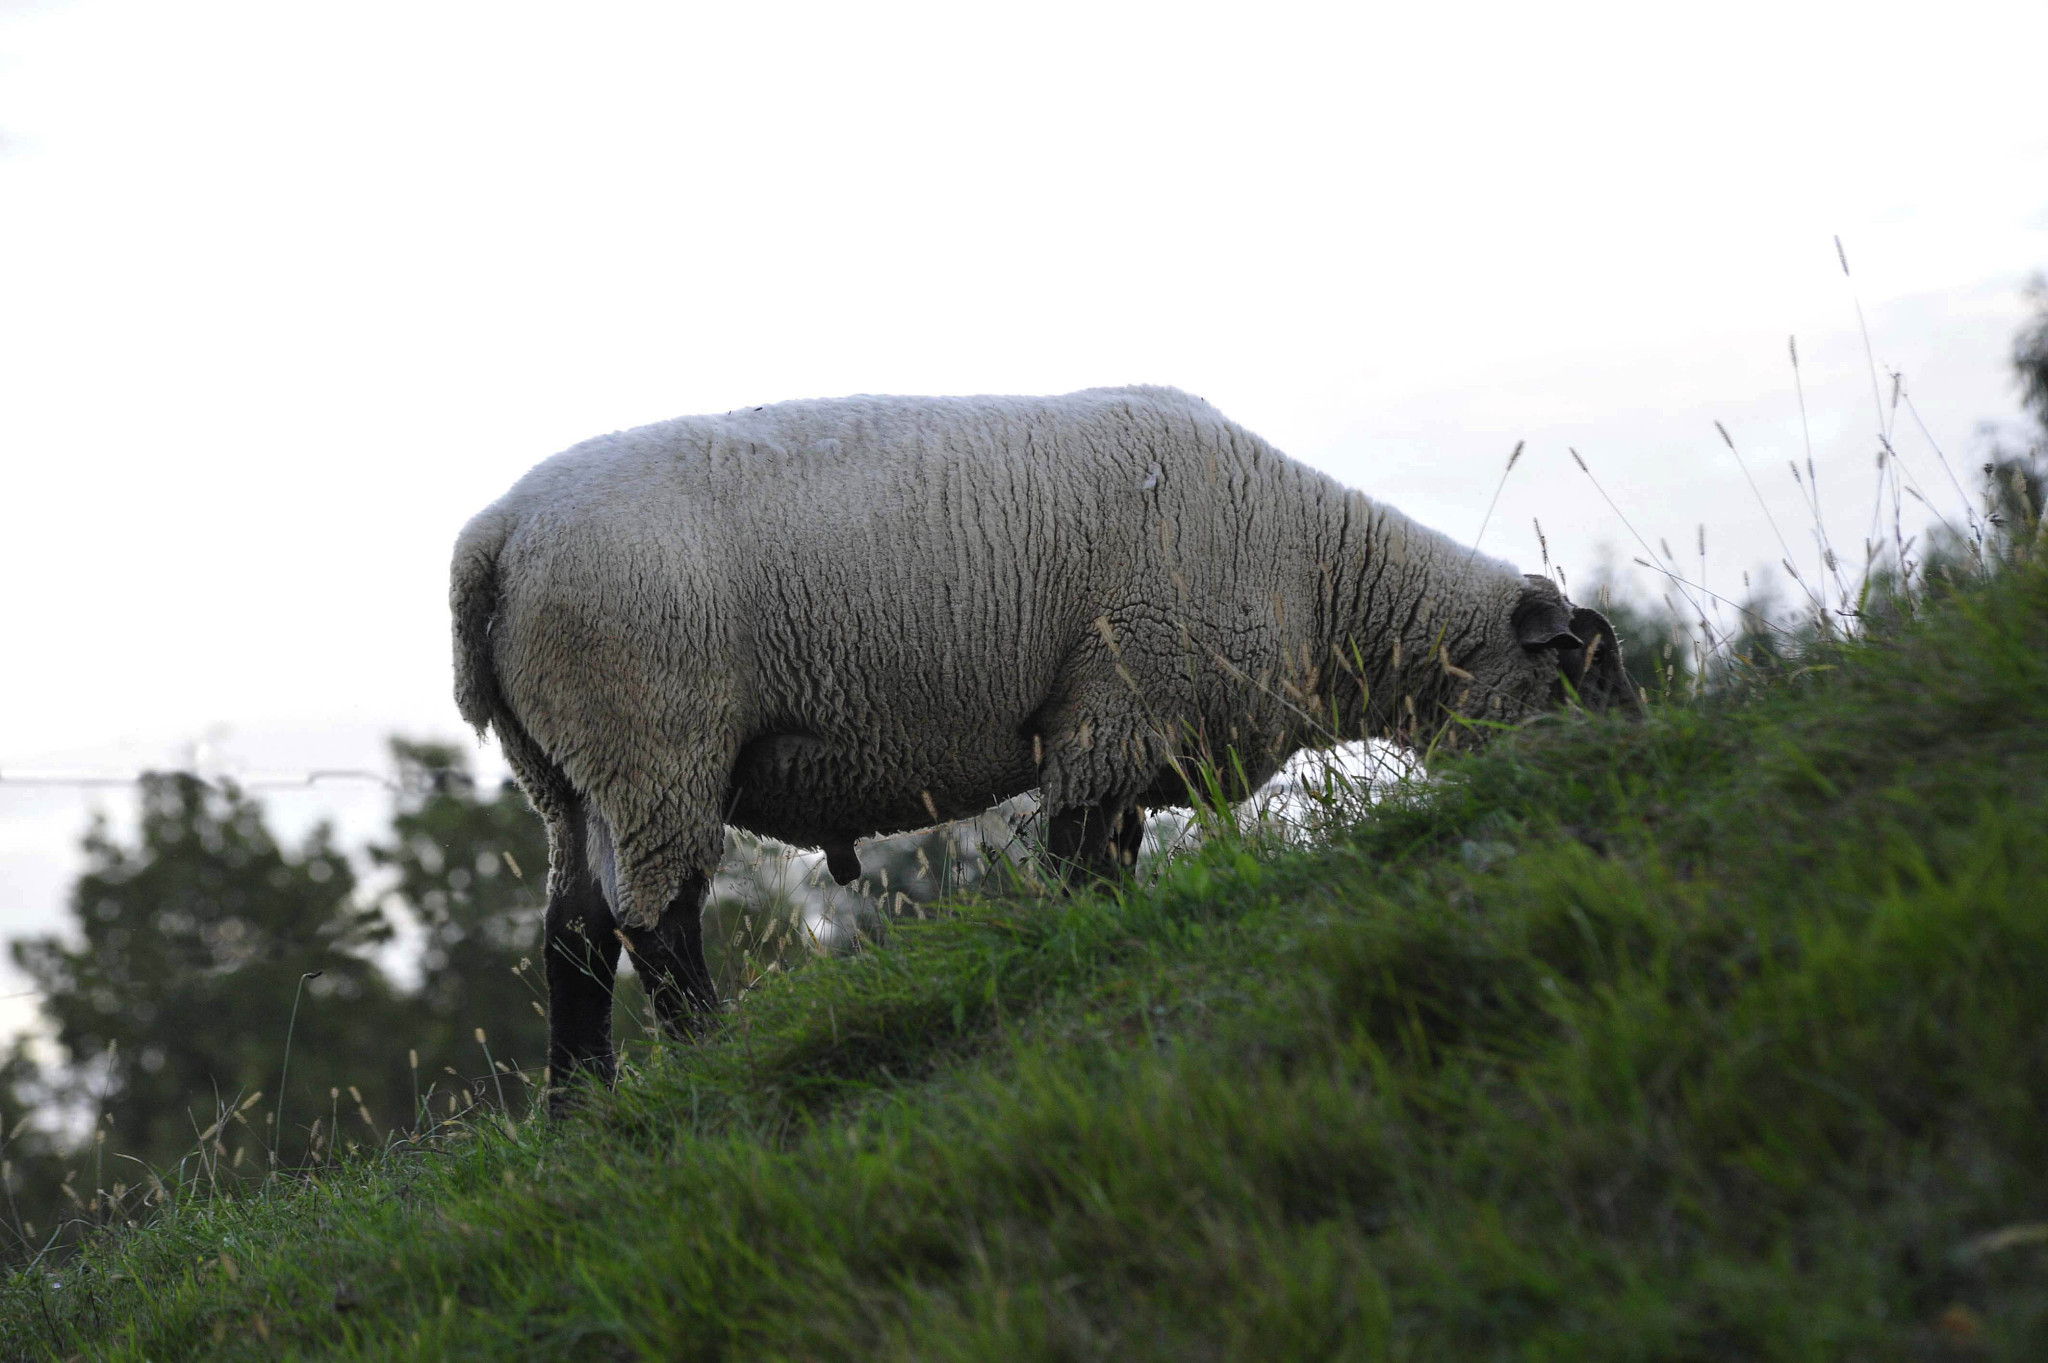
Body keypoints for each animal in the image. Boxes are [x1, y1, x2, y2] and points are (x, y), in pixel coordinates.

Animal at [450, 385, 1636, 1099]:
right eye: (1585, 671)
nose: (1637, 740)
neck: (1315, 574)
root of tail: (494, 539)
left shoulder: (1128, 727)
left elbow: (1110, 856)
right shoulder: (1118, 703)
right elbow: (1078, 857)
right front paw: (1086, 950)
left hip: (566, 770)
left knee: (573, 931)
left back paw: (579, 1108)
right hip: (653, 737)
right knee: (657, 918)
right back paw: (707, 1054)